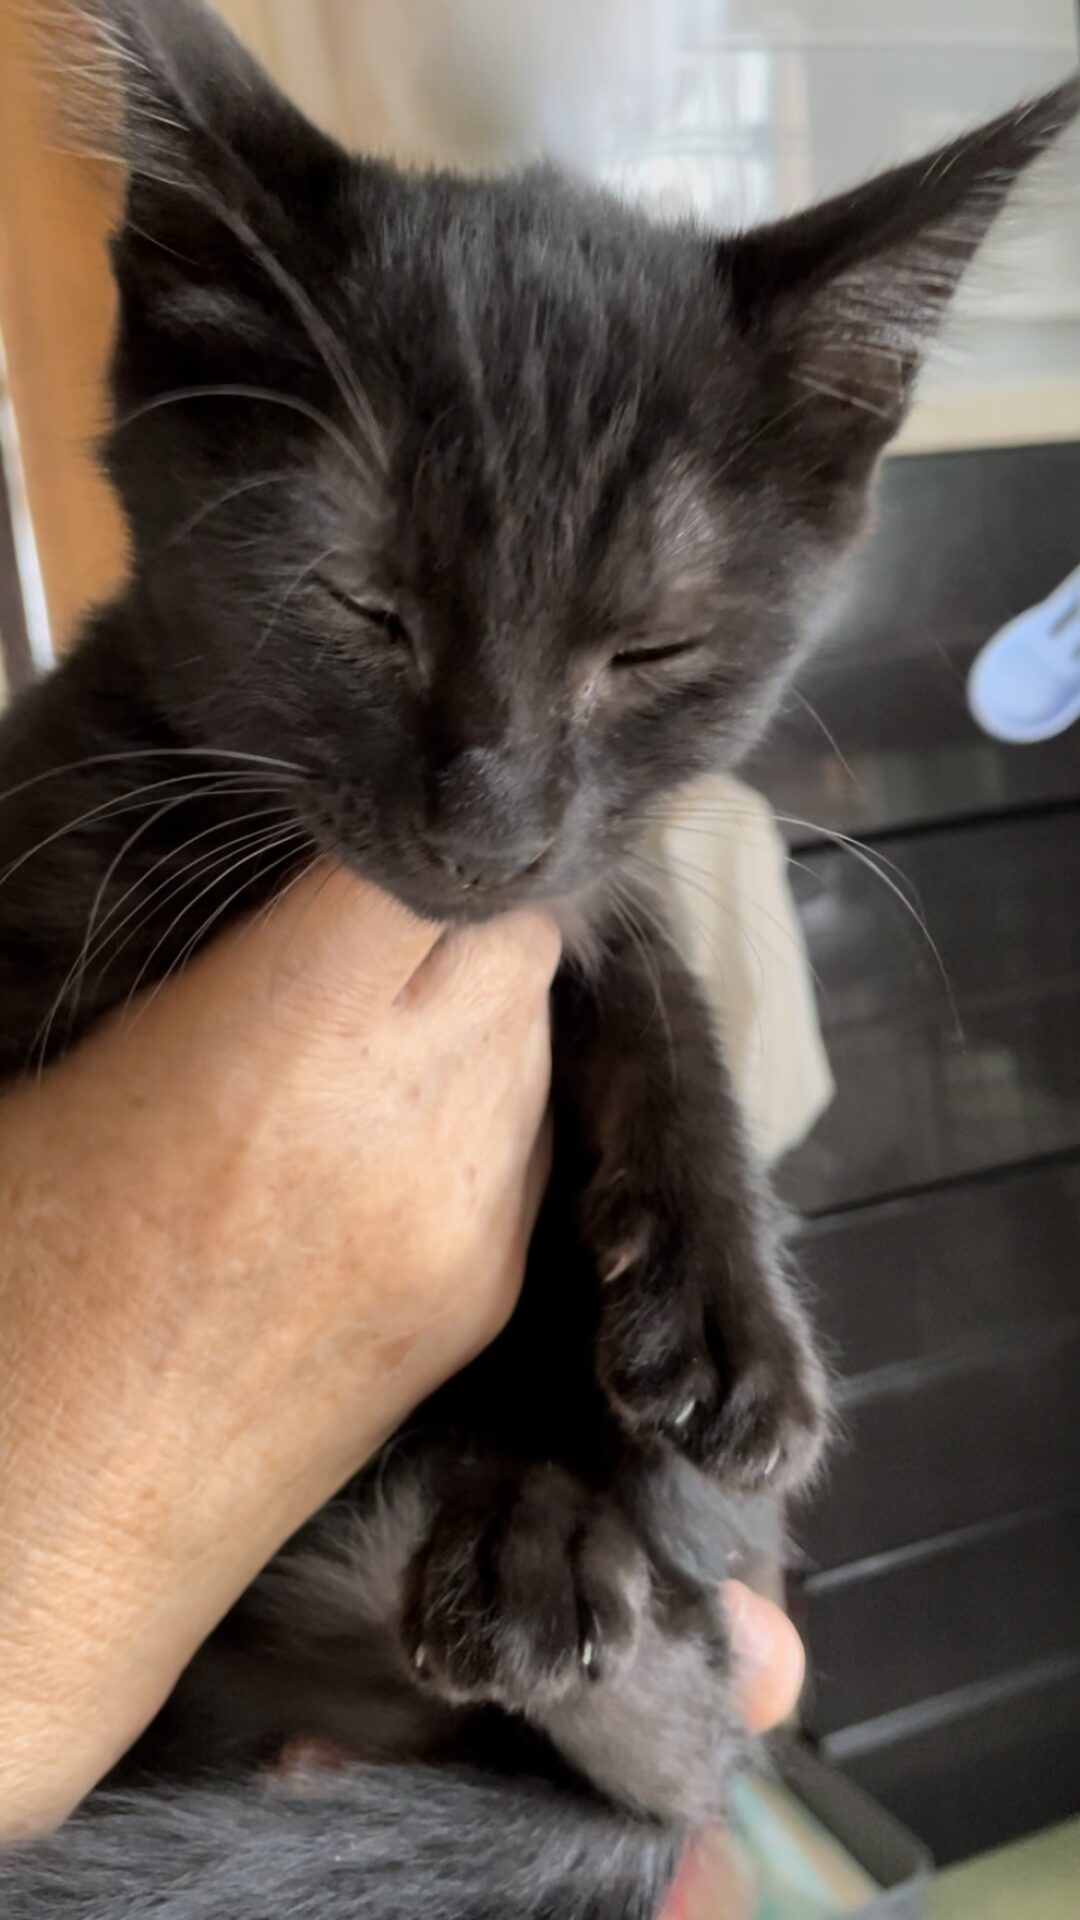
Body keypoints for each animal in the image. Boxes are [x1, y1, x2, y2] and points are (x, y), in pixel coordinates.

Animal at [0, 3, 1075, 1915]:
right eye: (357, 605)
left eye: (649, 648)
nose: (485, 820)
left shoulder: (574, 898)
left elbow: (632, 954)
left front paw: (717, 1305)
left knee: (674, 1711)